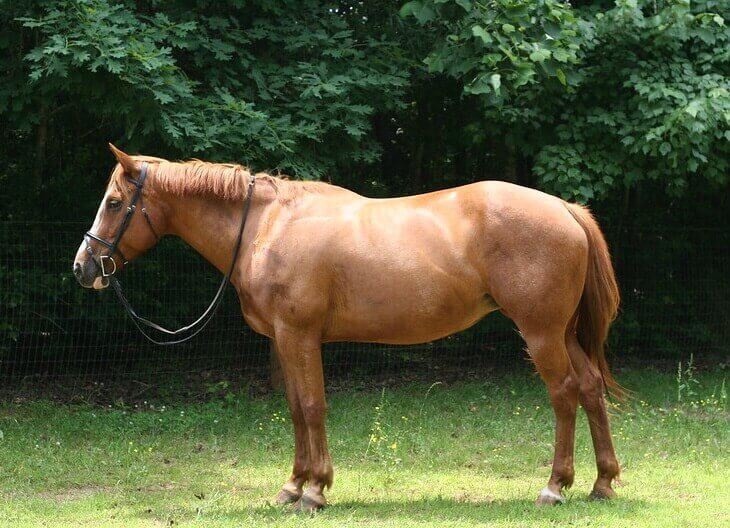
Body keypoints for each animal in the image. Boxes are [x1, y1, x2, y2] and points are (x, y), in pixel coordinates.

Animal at [73, 144, 621, 511]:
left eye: (114, 203)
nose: (83, 267)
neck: (266, 226)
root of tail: (563, 208)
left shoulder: (300, 337)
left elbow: (313, 408)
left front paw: (315, 490)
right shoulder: (285, 341)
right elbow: (296, 409)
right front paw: (292, 486)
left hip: (541, 333)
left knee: (564, 393)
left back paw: (555, 485)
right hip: (563, 333)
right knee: (591, 387)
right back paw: (602, 482)